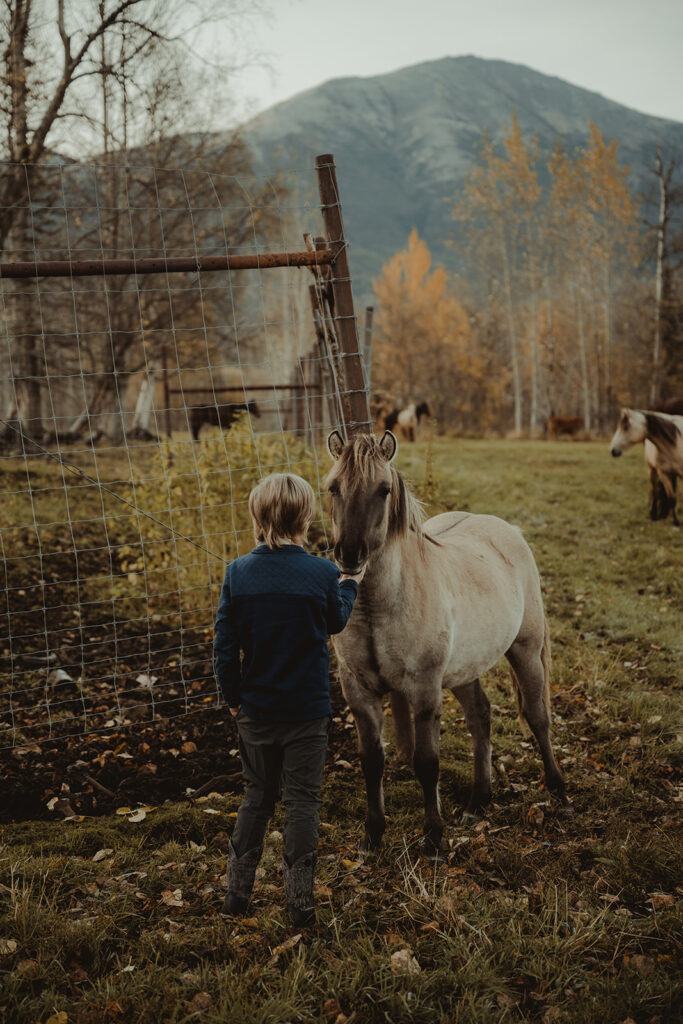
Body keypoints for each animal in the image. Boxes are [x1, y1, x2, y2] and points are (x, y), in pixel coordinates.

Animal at [325, 428, 565, 851]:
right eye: (333, 487)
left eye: (384, 489)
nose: (350, 554)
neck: (376, 606)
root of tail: (508, 530)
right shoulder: (359, 692)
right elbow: (372, 761)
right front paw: (373, 833)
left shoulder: (424, 690)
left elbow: (427, 763)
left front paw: (435, 837)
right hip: (464, 669)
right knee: (480, 716)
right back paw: (478, 801)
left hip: (526, 650)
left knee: (537, 716)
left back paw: (556, 786)